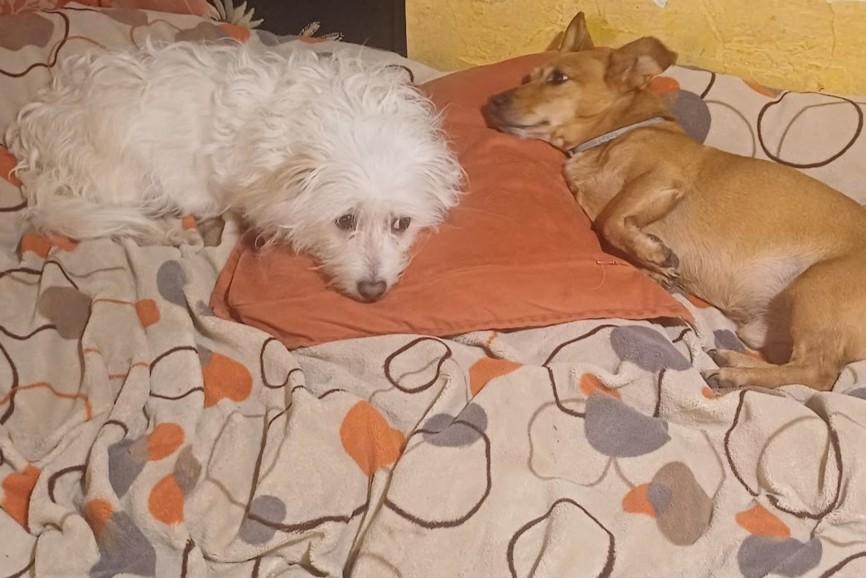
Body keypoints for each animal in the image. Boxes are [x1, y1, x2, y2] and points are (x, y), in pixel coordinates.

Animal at [5, 41, 462, 302]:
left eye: (401, 224)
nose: (373, 291)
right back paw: (174, 230)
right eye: (345, 220)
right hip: (127, 180)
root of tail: (36, 135)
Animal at [485, 12, 866, 391]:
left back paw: (735, 373)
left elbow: (611, 219)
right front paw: (654, 267)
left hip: (817, 288)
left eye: (558, 78)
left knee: (818, 374)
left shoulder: (662, 178)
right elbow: (610, 233)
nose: (490, 102)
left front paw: (654, 254)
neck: (610, 139)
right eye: (527, 77)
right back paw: (736, 358)